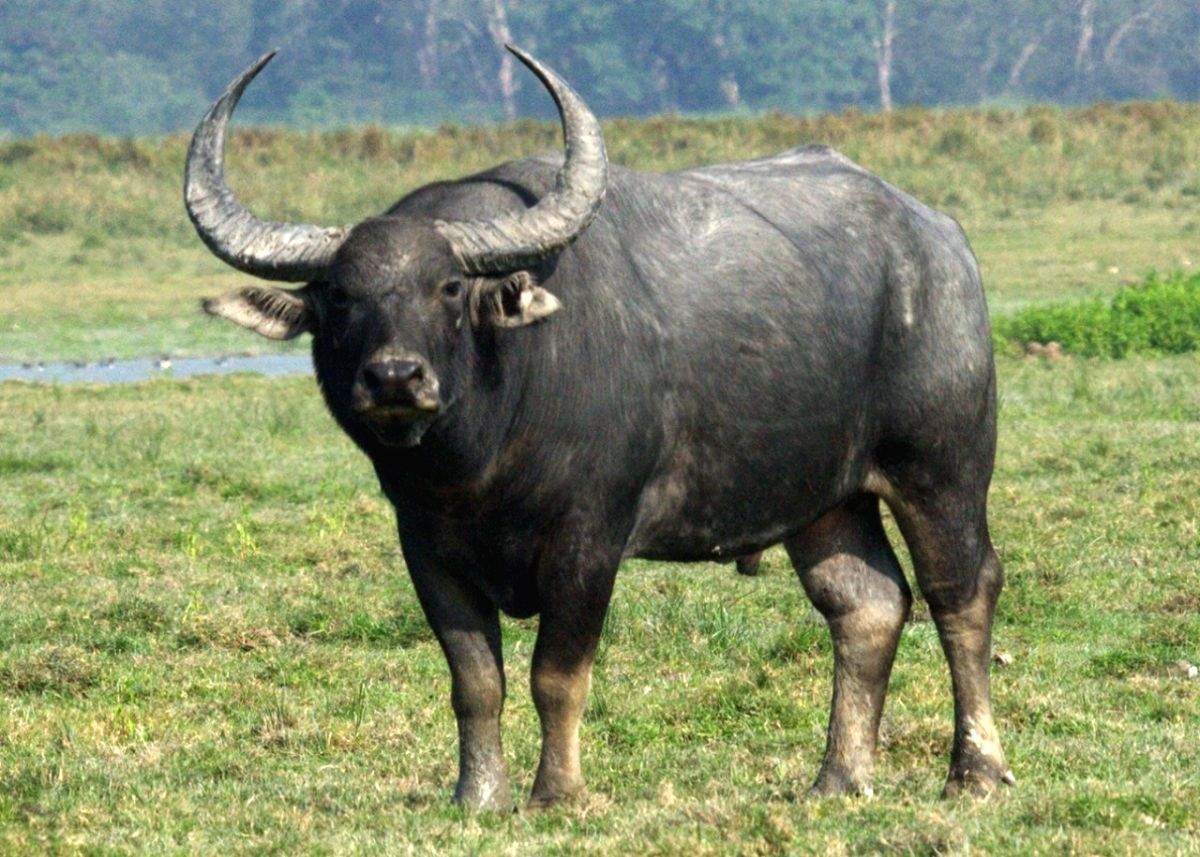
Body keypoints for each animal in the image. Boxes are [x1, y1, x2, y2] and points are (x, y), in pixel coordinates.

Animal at [185, 46, 1013, 809]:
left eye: (448, 286)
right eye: (336, 296)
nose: (394, 377)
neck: (479, 461)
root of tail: (939, 239)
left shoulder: (589, 538)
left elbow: (556, 673)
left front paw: (557, 792)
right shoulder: (426, 546)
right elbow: (475, 679)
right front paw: (478, 794)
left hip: (940, 467)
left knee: (960, 593)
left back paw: (975, 770)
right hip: (826, 498)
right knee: (866, 604)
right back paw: (839, 777)